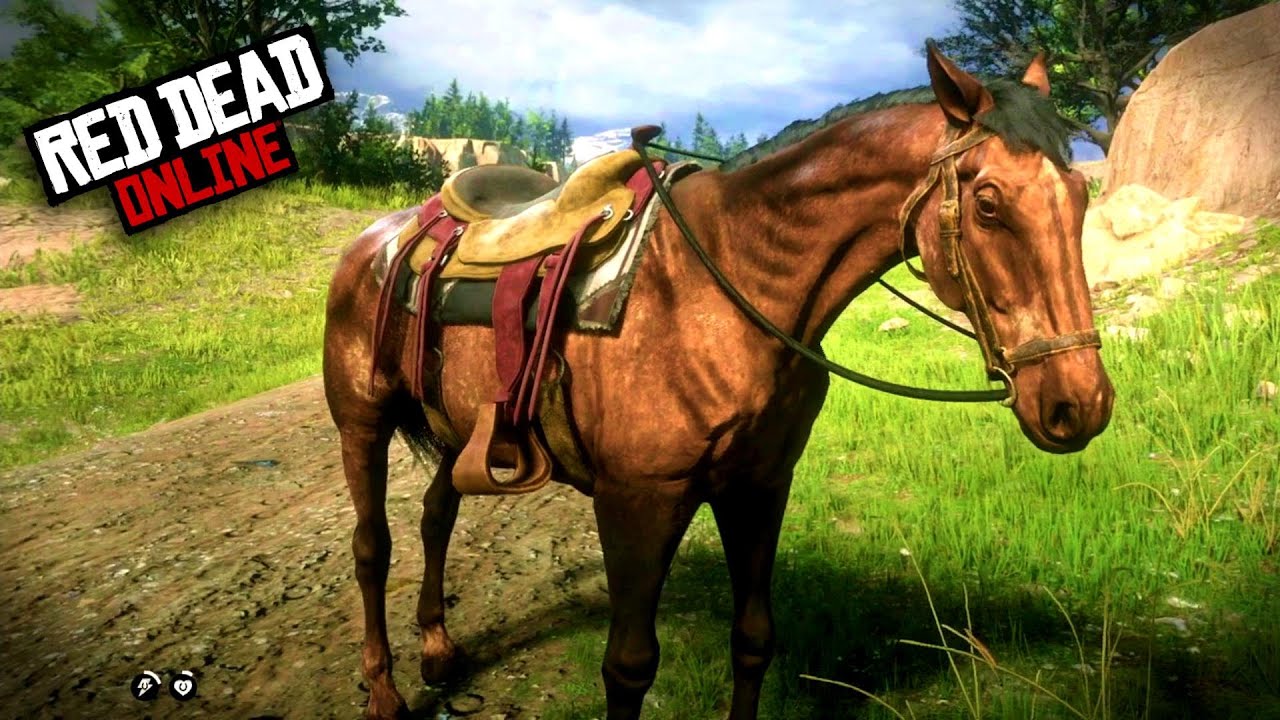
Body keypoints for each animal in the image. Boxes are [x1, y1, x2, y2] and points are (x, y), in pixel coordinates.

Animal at [321, 43, 1114, 720]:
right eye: (988, 203)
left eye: (1080, 198)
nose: (1080, 404)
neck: (724, 282)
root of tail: (380, 237)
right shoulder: (638, 502)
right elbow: (628, 667)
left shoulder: (760, 487)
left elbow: (754, 638)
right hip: (362, 422)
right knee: (373, 547)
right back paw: (383, 690)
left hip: (457, 427)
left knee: (435, 514)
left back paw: (436, 648)